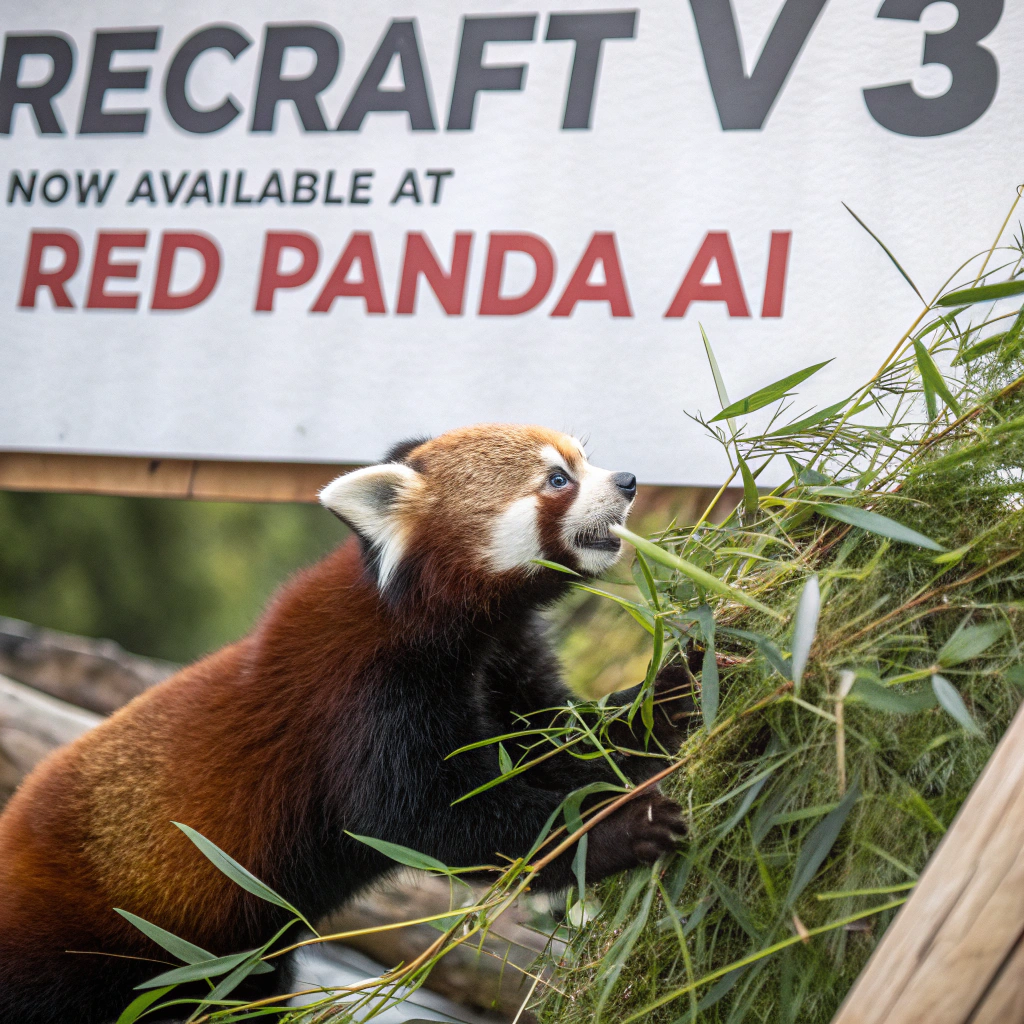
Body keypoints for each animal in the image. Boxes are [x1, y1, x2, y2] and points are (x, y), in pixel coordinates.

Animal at [0, 424, 692, 1024]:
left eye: (584, 461)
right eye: (557, 479)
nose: (629, 480)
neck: (430, 617)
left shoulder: (505, 660)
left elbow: (562, 746)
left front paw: (678, 693)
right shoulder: (364, 700)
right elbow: (427, 821)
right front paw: (623, 827)